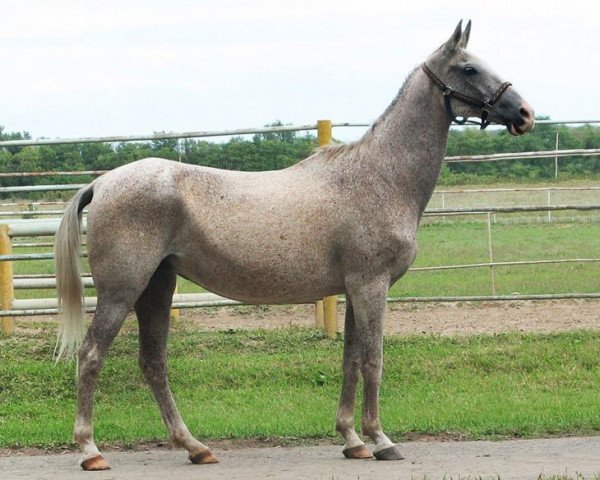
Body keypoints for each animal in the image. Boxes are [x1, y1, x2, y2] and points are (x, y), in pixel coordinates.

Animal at [55, 20, 536, 470]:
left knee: (153, 363)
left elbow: (350, 360)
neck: (379, 176)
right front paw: (381, 440)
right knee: (91, 354)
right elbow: (373, 360)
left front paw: (352, 440)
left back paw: (195, 447)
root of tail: (102, 182)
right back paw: (91, 450)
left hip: (158, 286)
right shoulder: (371, 285)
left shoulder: (353, 291)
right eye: (469, 68)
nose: (525, 112)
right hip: (123, 290)